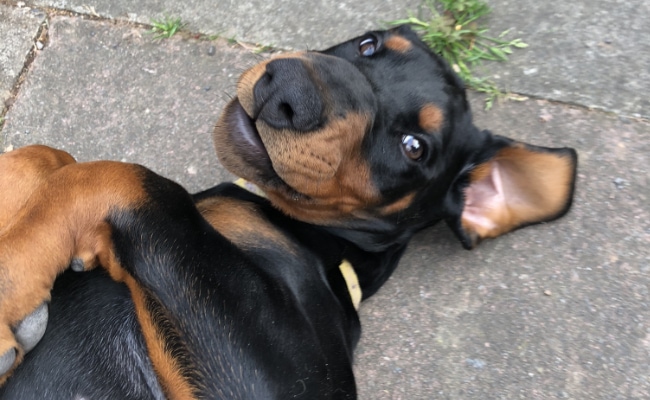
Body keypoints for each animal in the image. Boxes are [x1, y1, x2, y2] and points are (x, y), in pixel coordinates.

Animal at [0, 26, 576, 398]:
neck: (322, 242)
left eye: (415, 147)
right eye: (368, 44)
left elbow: (127, 178)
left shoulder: (282, 380)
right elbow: (47, 156)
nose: (287, 88)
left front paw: (7, 292)